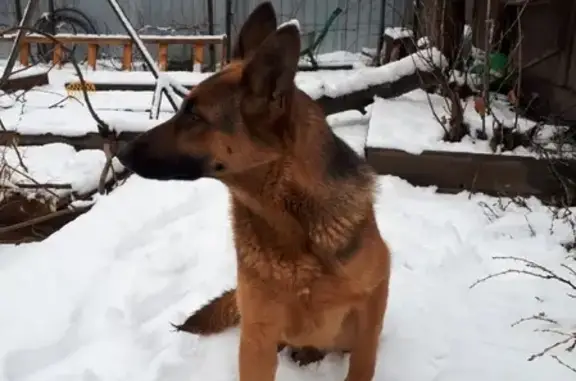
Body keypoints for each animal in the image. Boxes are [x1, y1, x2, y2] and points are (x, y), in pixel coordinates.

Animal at [116, 1, 392, 378]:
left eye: (194, 116)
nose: (121, 152)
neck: (291, 224)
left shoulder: (371, 309)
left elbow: (362, 365)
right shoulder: (257, 335)